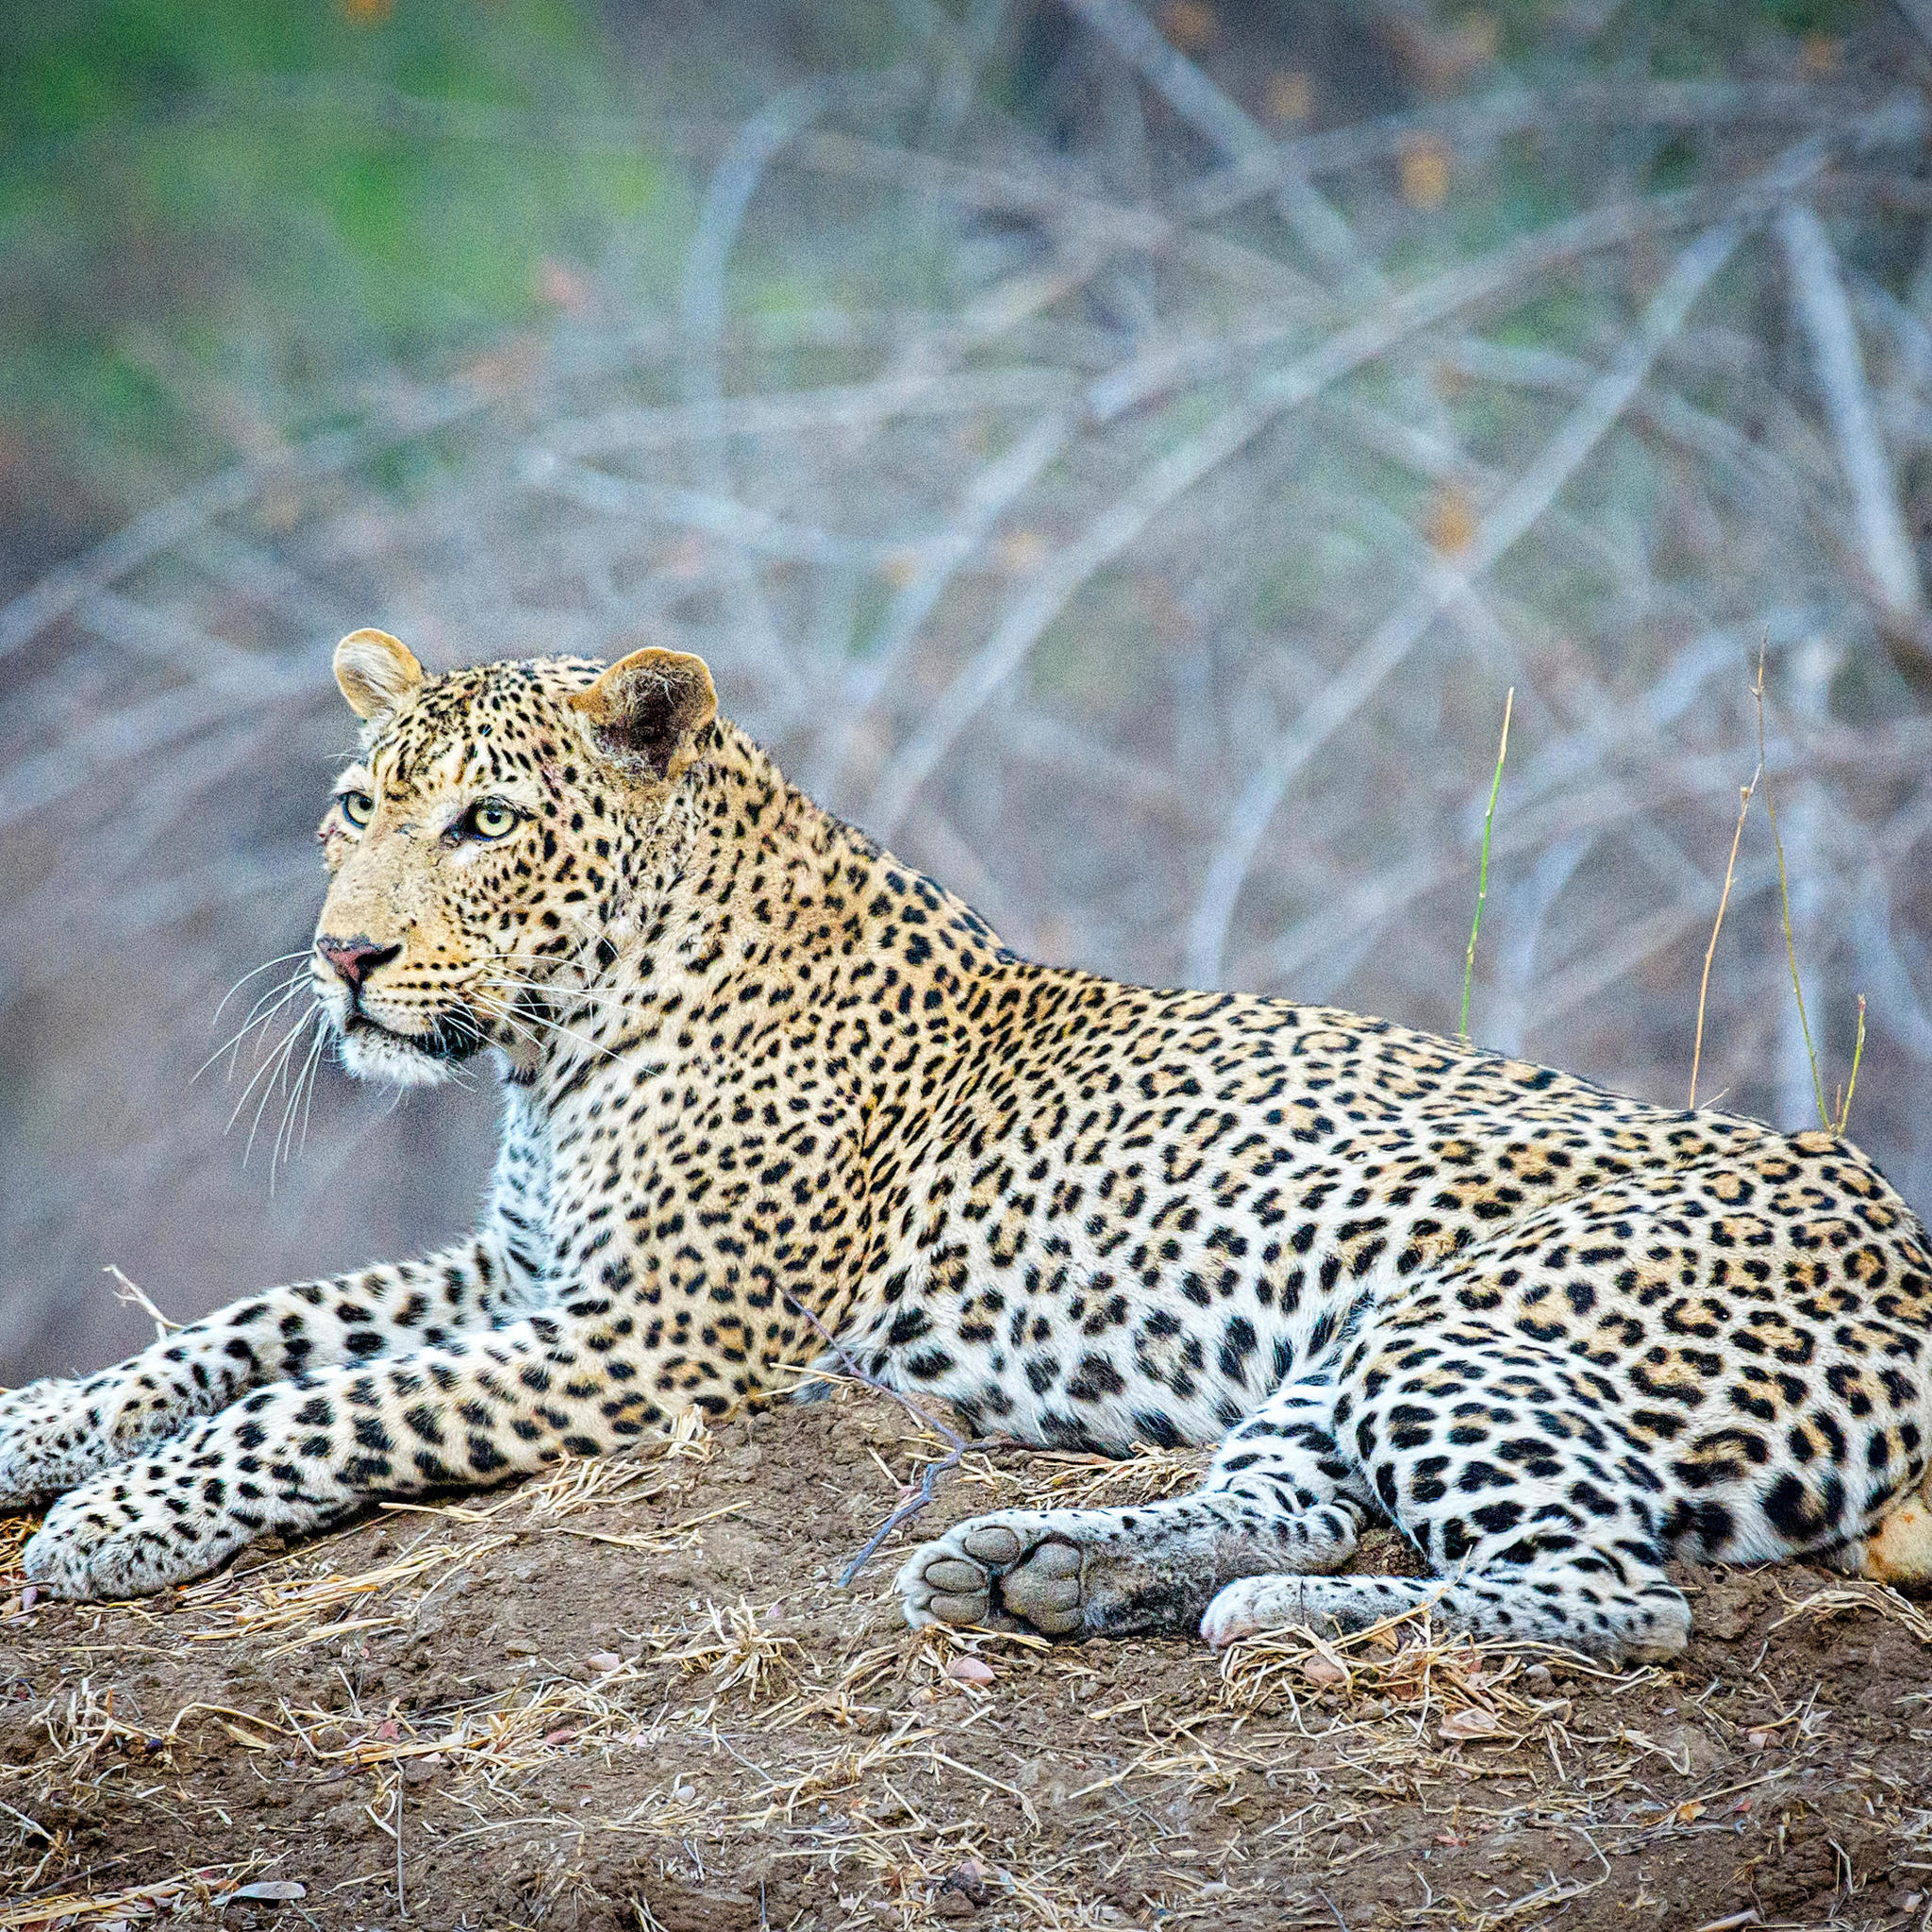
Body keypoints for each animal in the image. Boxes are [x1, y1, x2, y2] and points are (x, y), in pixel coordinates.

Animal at [5, 628, 1932, 1664]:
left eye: (484, 823)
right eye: (355, 808)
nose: (345, 957)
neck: (559, 1049)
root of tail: (1904, 1233)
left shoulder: (652, 1335)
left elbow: (331, 1401)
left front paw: (115, 1522)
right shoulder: (527, 1265)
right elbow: (256, 1321)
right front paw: (46, 1427)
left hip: (1476, 1319)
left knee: (1604, 1592)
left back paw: (1266, 1619)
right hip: (1366, 1343)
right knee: (1305, 1495)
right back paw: (1044, 1567)